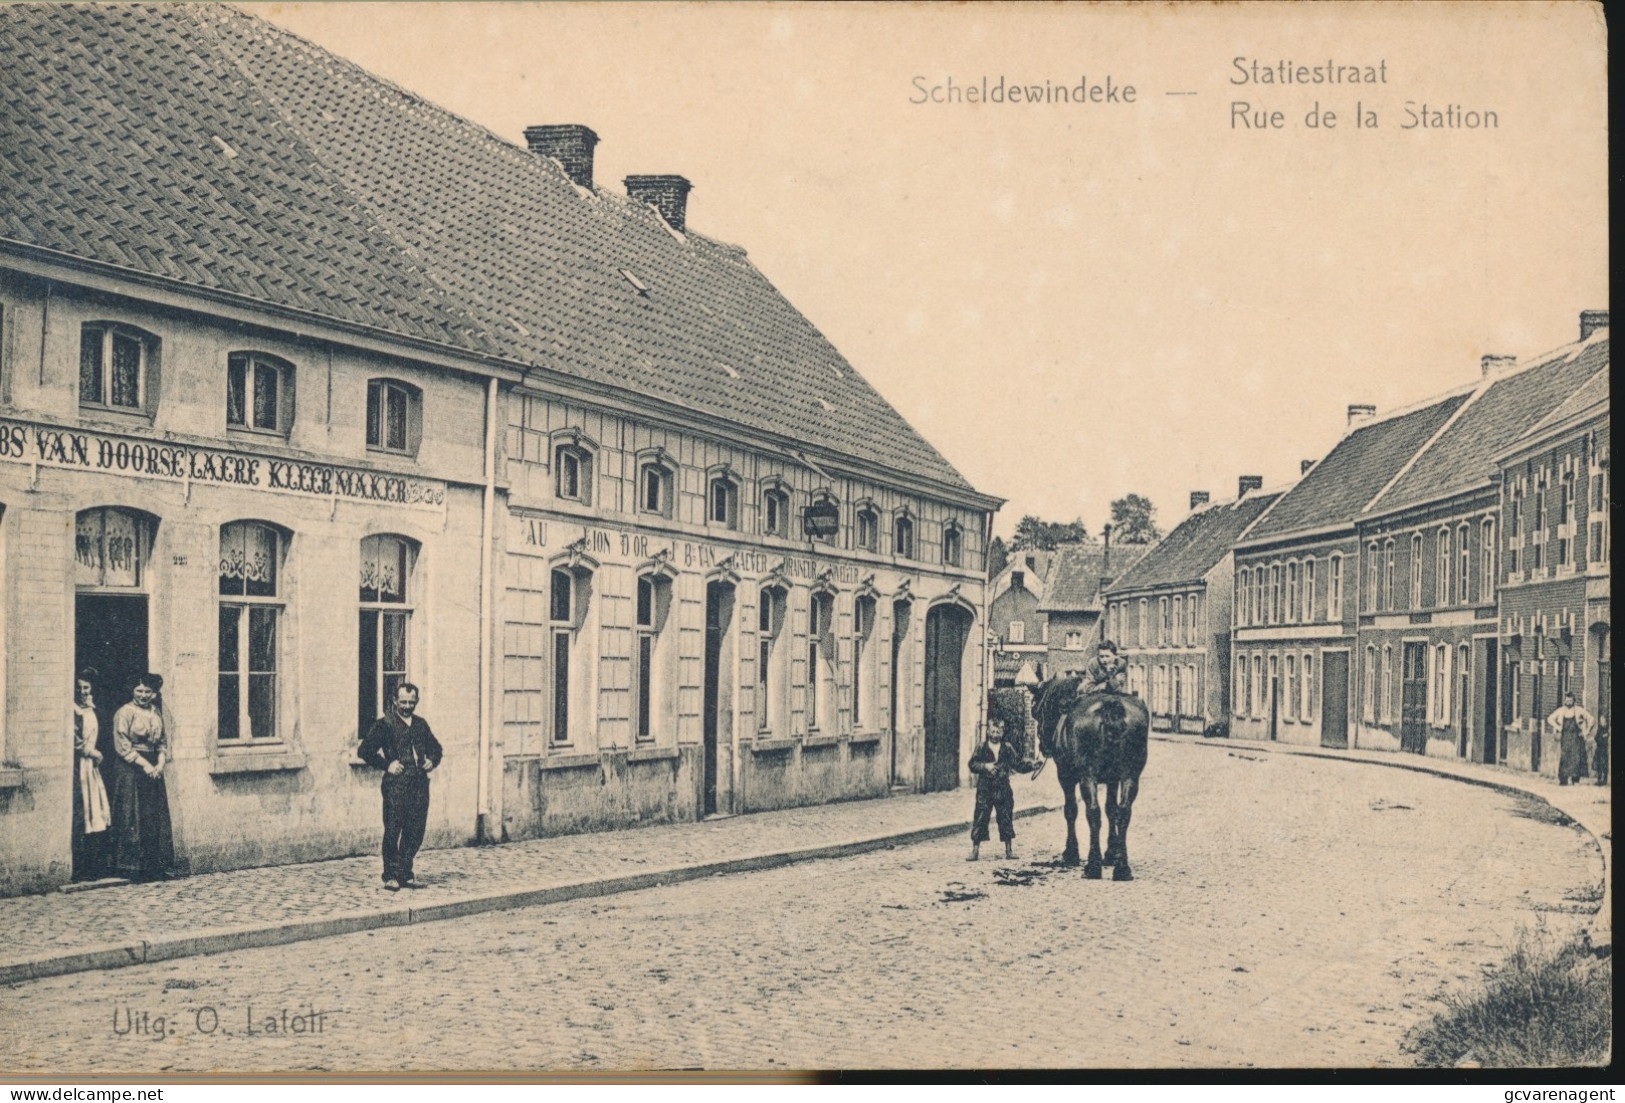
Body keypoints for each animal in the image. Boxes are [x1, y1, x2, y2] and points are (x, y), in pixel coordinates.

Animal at [1033, 672, 1150, 877]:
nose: (1043, 745)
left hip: (1087, 777)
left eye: (1037, 711)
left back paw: (1093, 865)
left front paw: (1071, 852)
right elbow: (1111, 809)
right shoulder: (1113, 779)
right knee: (1124, 810)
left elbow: (1071, 810)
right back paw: (1122, 867)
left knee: (1093, 811)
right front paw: (1112, 852)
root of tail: (1111, 705)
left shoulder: (1065, 775)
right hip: (1130, 776)